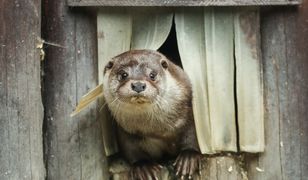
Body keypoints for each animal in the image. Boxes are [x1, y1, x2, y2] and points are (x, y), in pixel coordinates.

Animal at [102, 50, 201, 179]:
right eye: (123, 74)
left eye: (152, 75)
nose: (138, 85)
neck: (159, 130)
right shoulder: (126, 130)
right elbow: (131, 148)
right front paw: (144, 167)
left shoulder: (188, 111)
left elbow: (192, 133)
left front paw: (188, 157)